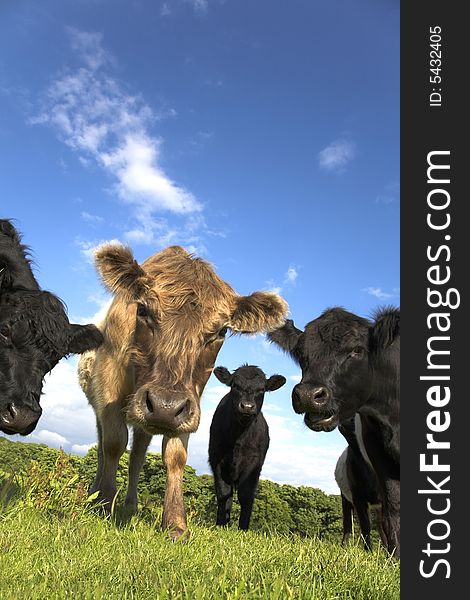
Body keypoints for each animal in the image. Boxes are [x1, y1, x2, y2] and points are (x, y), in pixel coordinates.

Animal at [209, 366, 286, 528]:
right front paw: (221, 524)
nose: (247, 406)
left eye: (262, 389)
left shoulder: (254, 464)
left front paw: (243, 528)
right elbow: (223, 493)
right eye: (235, 385)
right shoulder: (216, 459)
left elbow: (246, 496)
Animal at [336, 418, 388, 548]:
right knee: (347, 524)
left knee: (380, 525)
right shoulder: (357, 496)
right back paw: (344, 547)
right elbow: (365, 525)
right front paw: (369, 550)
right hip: (345, 497)